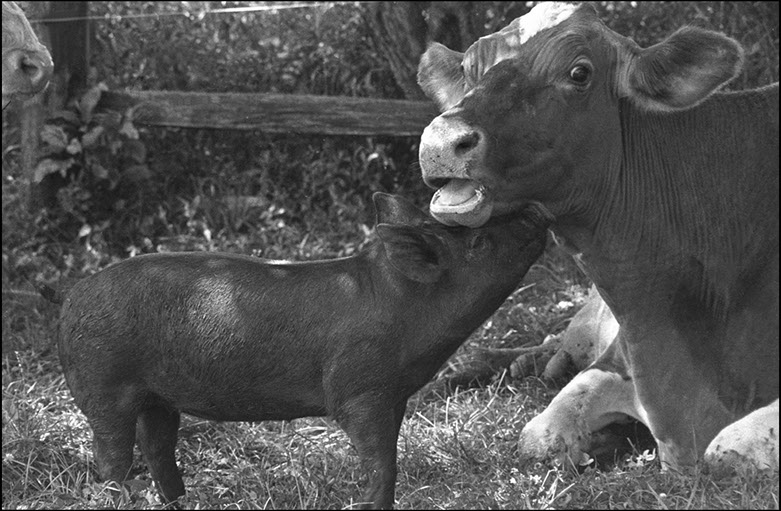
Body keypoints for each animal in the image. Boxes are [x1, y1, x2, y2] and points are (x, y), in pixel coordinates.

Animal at [57, 192, 550, 509]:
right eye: (478, 243)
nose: (535, 209)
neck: (403, 304)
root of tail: (69, 301)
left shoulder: (396, 396)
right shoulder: (358, 391)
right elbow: (382, 465)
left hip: (158, 397)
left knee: (158, 447)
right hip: (104, 388)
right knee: (113, 461)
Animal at [417, 1, 779, 473]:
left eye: (579, 73)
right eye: (469, 69)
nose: (440, 142)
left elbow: (727, 450)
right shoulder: (621, 355)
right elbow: (539, 437)